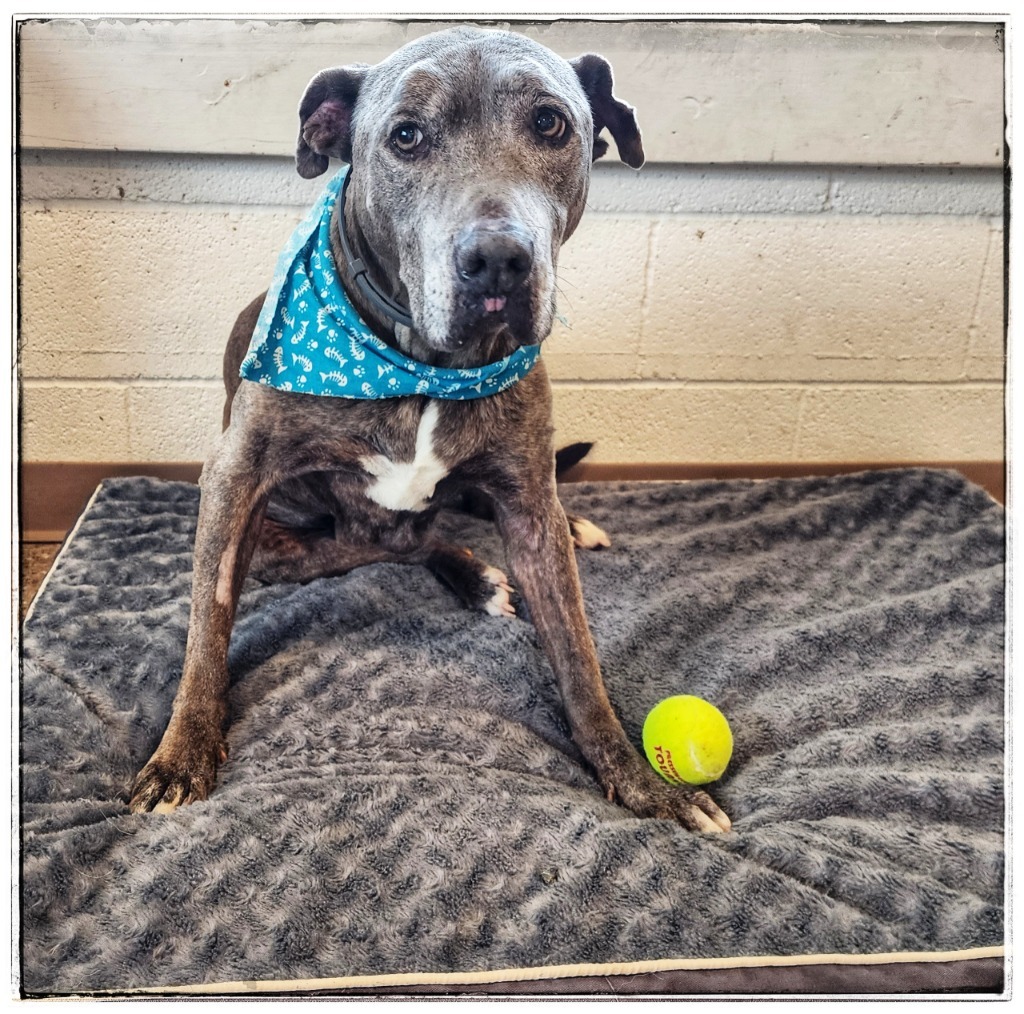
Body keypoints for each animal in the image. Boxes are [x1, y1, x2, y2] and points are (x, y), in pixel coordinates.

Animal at [130, 25, 729, 831]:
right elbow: (208, 625)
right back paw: (470, 573)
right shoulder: (233, 479)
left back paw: (540, 540)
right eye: (406, 136)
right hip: (282, 539)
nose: (497, 259)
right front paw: (183, 753)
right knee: (376, 544)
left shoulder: (527, 500)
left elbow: (578, 654)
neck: (422, 367)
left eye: (551, 124)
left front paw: (639, 781)